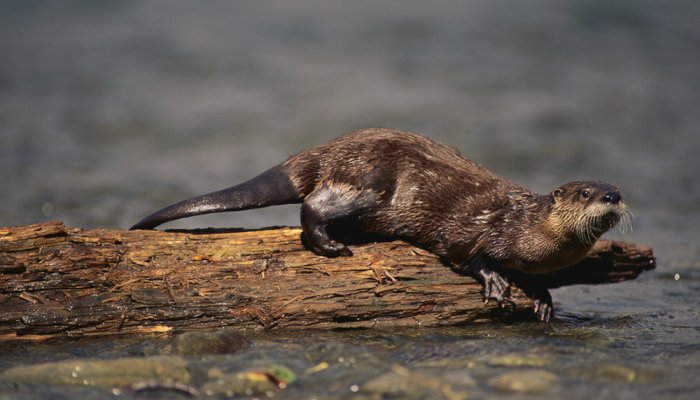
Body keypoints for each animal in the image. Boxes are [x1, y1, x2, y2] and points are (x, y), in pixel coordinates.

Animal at [131, 128, 629, 321]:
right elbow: (464, 252)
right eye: (585, 193)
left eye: (614, 187)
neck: (524, 226)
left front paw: (543, 297)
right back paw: (331, 245)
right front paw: (494, 281)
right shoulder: (474, 227)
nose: (612, 196)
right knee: (311, 206)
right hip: (371, 184)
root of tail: (317, 153)